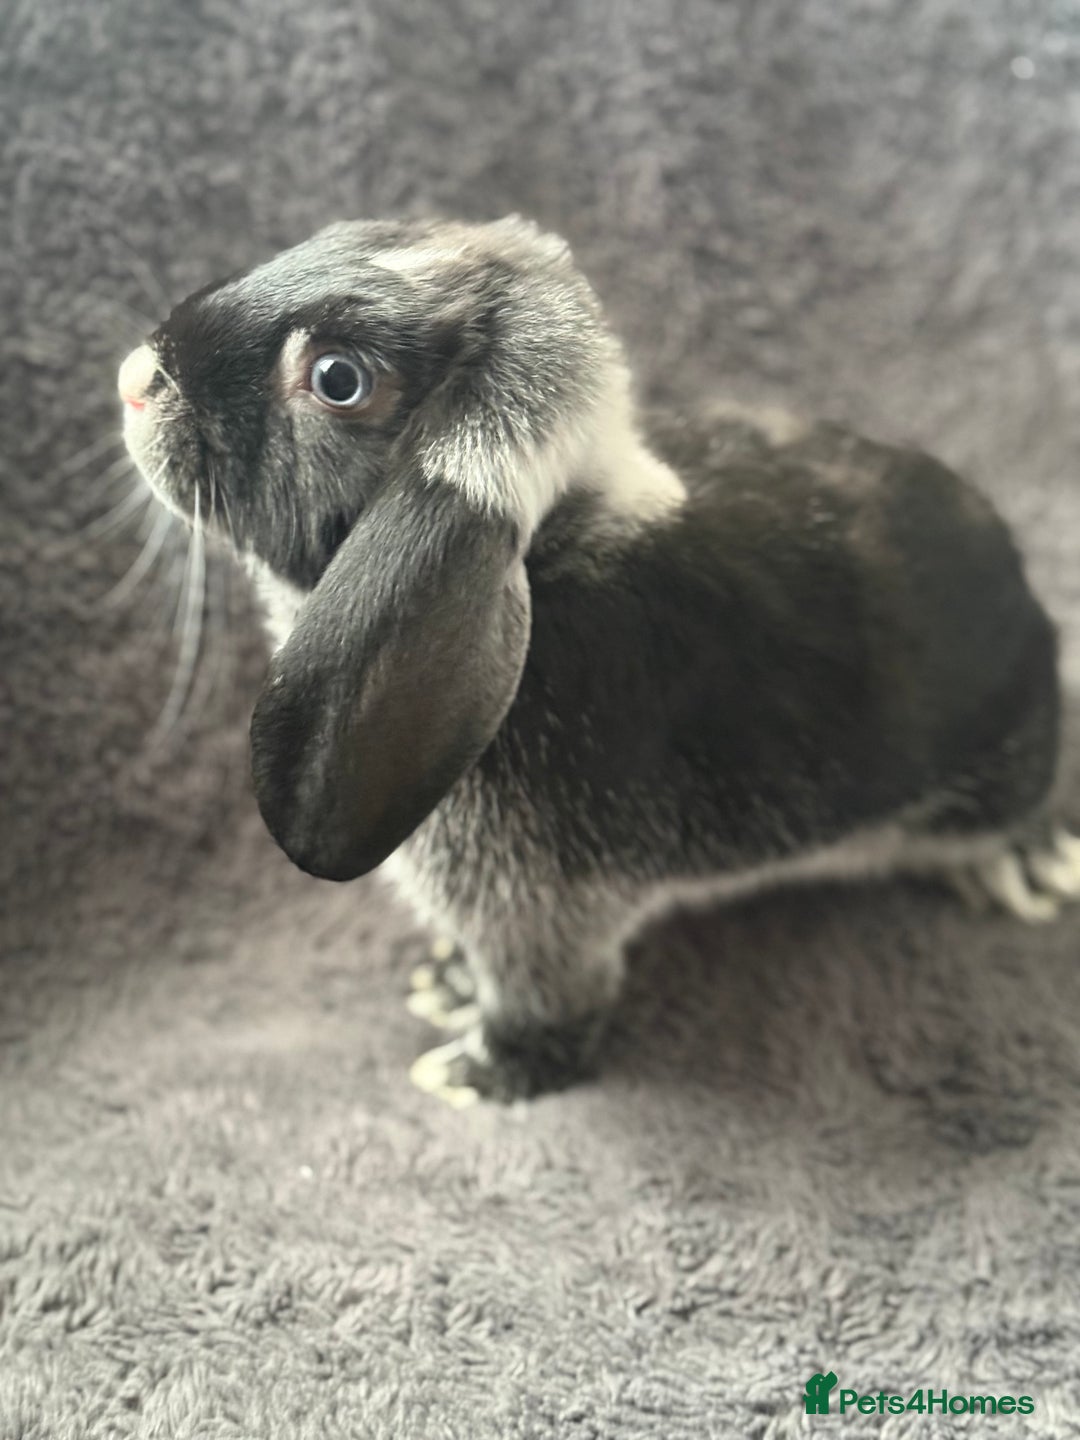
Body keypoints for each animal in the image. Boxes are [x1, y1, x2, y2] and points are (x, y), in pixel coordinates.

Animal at [118, 214, 1080, 1105]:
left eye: (337, 380)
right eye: (349, 231)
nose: (134, 379)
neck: (553, 559)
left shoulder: (538, 913)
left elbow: (543, 1004)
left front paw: (477, 1077)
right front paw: (447, 984)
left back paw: (1024, 862)